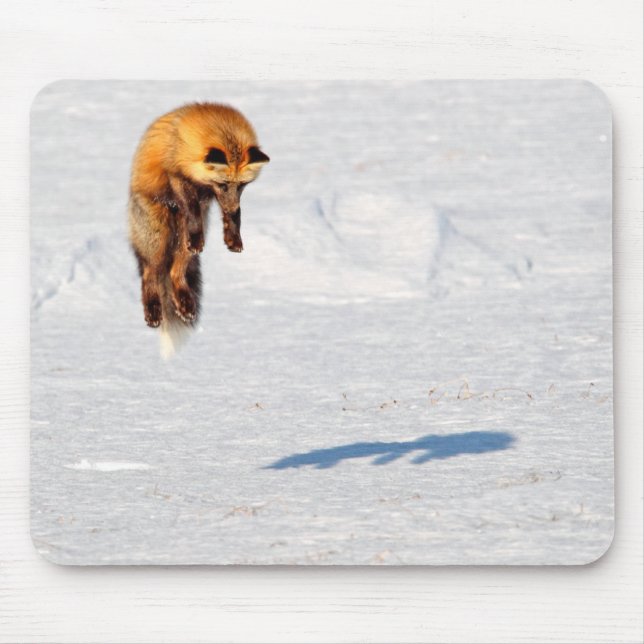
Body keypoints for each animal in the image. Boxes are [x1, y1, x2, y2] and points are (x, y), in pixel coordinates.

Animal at [128, 102, 269, 357]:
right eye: (224, 184)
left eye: (242, 185)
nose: (232, 206)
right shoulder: (177, 175)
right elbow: (191, 206)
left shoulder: (213, 195)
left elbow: (234, 217)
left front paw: (233, 236)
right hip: (158, 237)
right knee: (149, 274)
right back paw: (153, 310)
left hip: (182, 244)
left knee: (175, 272)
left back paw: (185, 303)